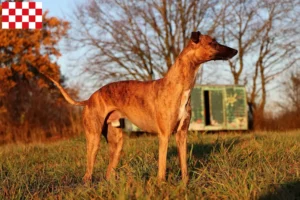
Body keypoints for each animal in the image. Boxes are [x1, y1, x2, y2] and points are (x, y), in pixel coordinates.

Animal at [44, 30, 237, 183]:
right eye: (213, 43)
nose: (235, 51)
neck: (179, 86)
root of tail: (89, 99)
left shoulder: (182, 135)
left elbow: (184, 166)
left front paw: (185, 184)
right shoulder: (164, 135)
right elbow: (162, 166)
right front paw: (162, 185)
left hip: (117, 142)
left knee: (108, 172)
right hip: (94, 138)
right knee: (88, 171)